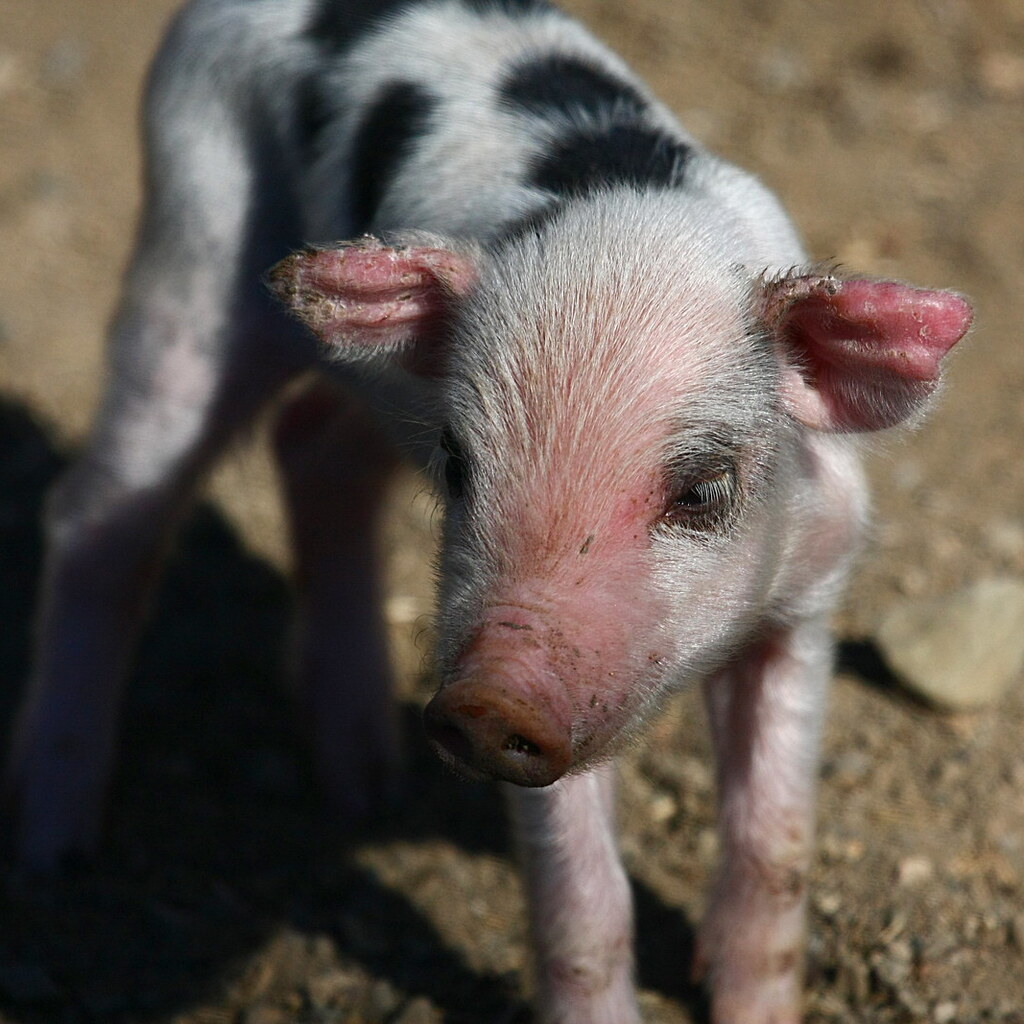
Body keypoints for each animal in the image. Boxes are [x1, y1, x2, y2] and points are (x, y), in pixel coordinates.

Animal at [5, 0, 972, 1021]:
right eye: (460, 464)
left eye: (705, 489)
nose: (485, 696)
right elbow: (585, 903)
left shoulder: (808, 597)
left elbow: (774, 850)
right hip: (192, 234)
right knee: (100, 514)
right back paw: (53, 849)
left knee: (311, 447)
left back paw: (366, 790)